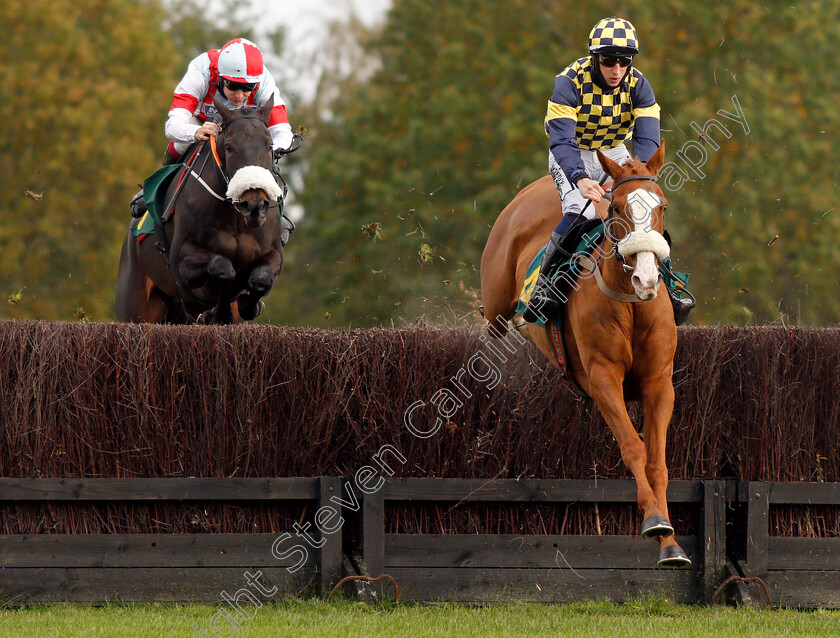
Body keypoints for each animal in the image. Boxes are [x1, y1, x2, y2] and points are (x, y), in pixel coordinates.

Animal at [115, 95, 288, 324]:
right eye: (229, 147)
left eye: (270, 146)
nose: (254, 206)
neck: (235, 218)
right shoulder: (181, 259)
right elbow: (222, 268)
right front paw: (220, 313)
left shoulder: (274, 253)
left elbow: (261, 278)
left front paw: (244, 305)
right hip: (135, 304)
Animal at [482, 144, 692, 568]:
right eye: (618, 208)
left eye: (662, 206)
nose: (646, 279)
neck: (630, 304)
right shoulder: (603, 378)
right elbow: (633, 447)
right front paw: (654, 521)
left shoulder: (659, 382)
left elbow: (657, 459)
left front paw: (670, 543)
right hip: (494, 308)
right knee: (489, 341)